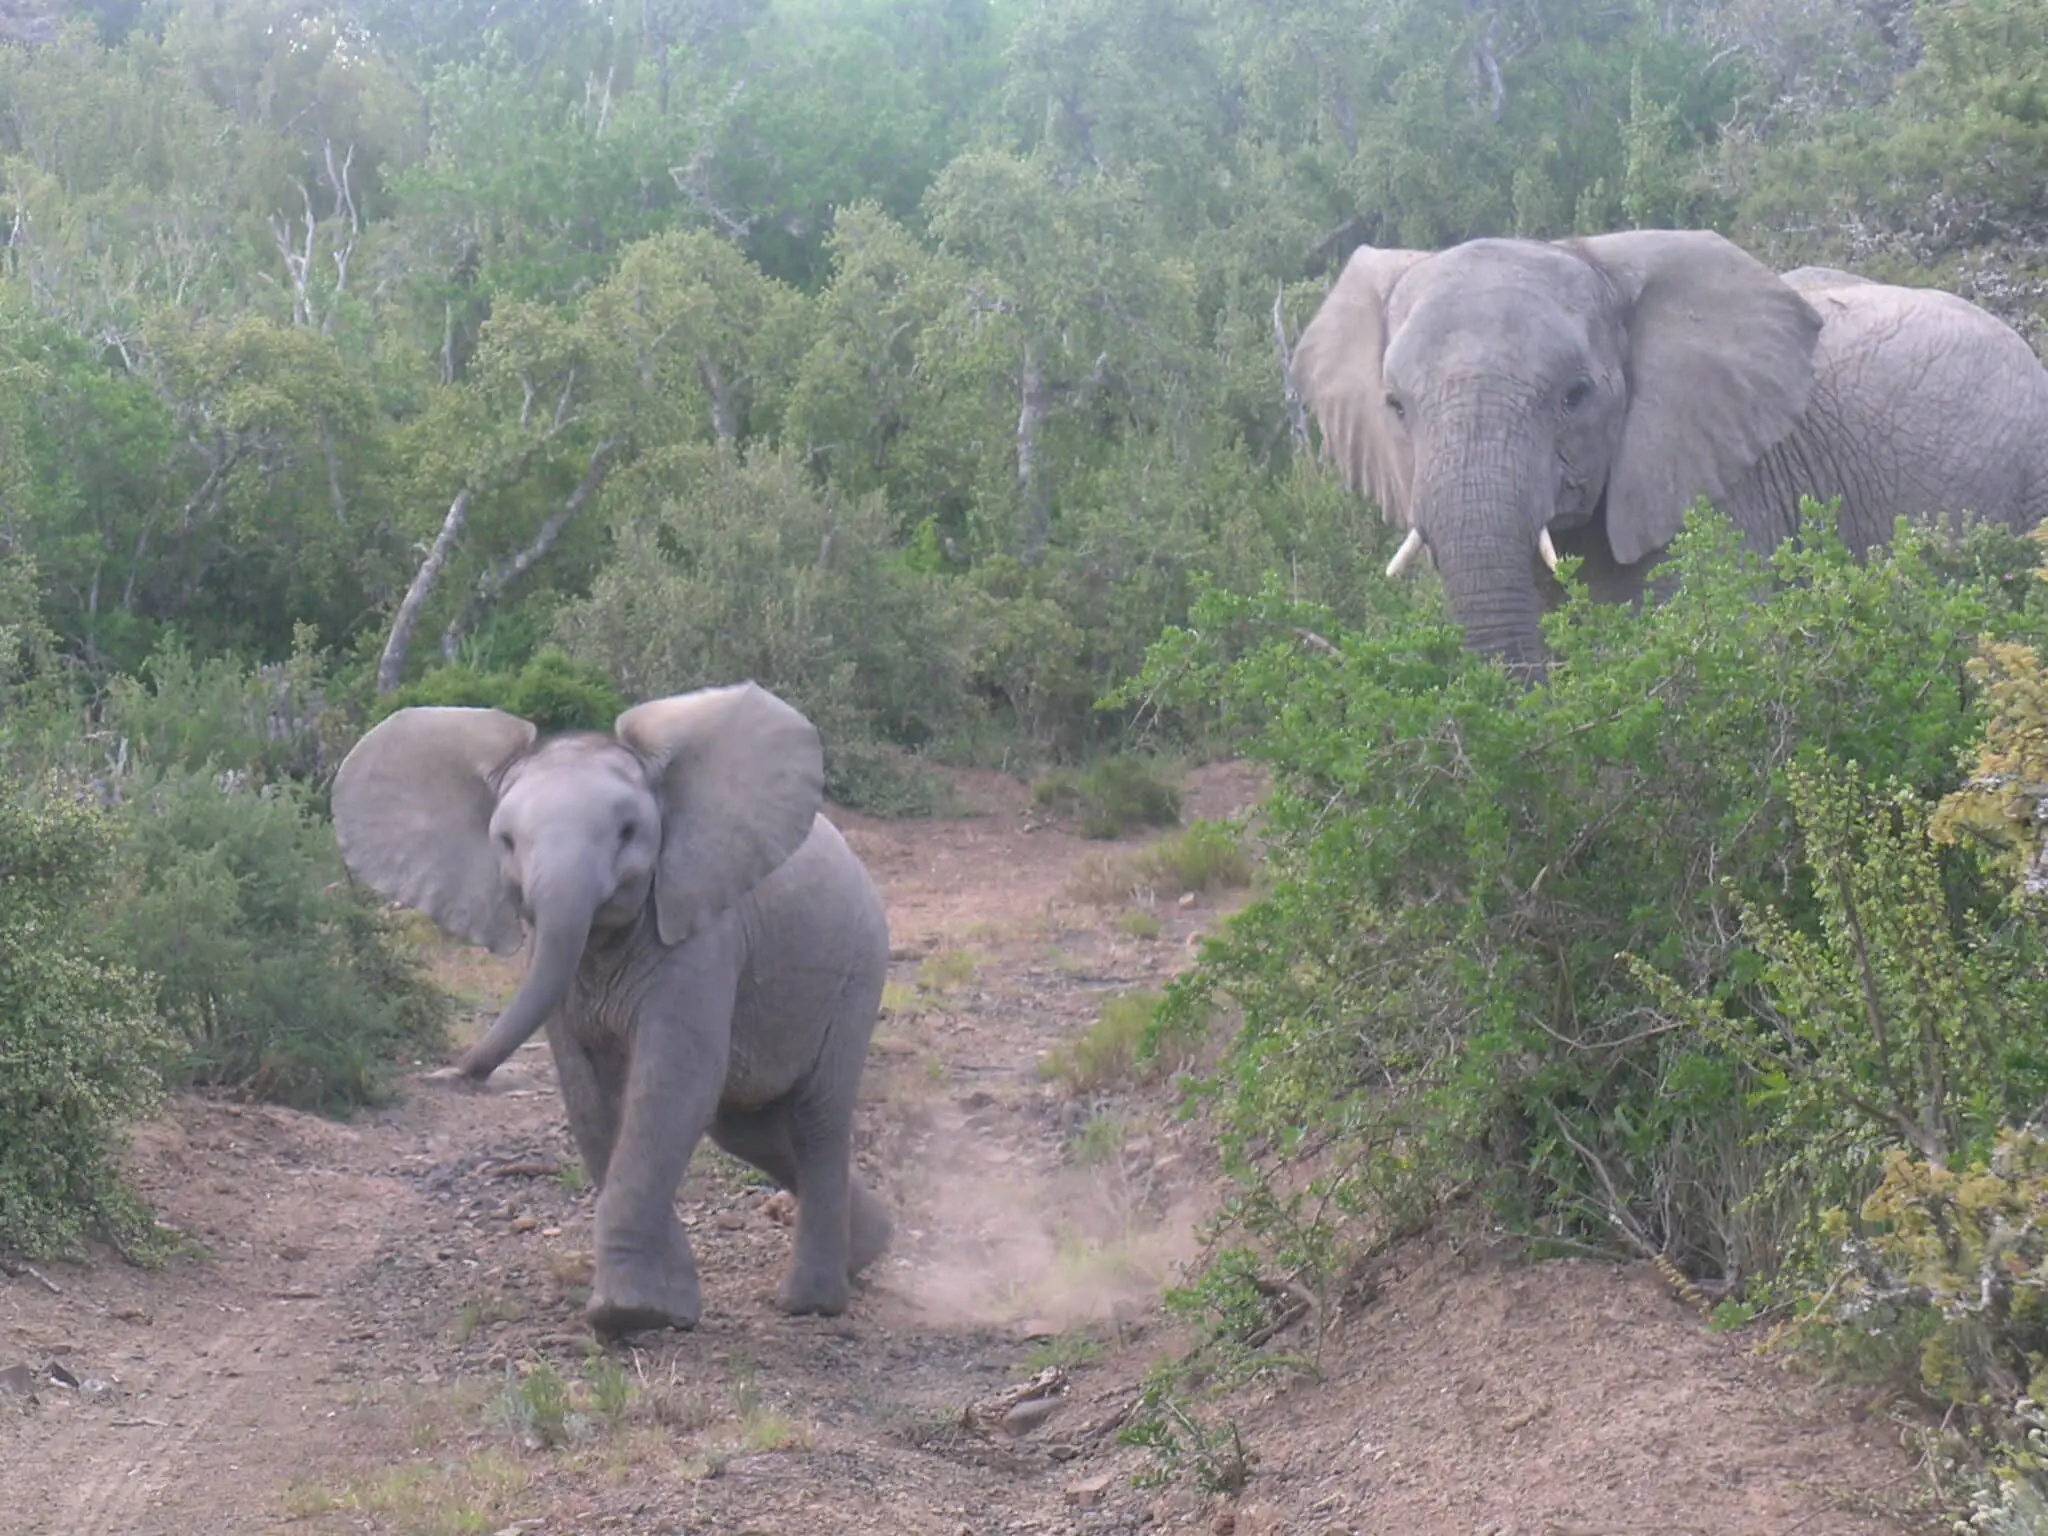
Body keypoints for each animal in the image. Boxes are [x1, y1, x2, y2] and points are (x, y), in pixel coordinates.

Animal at [331, 682, 893, 1338]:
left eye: (628, 831)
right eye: (506, 843)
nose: (446, 1074)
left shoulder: (700, 934)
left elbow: (672, 1083)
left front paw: (630, 1313)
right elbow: (591, 1094)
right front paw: (657, 1309)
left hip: (857, 966)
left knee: (814, 1116)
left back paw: (810, 1303)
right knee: (747, 1128)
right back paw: (868, 1249)